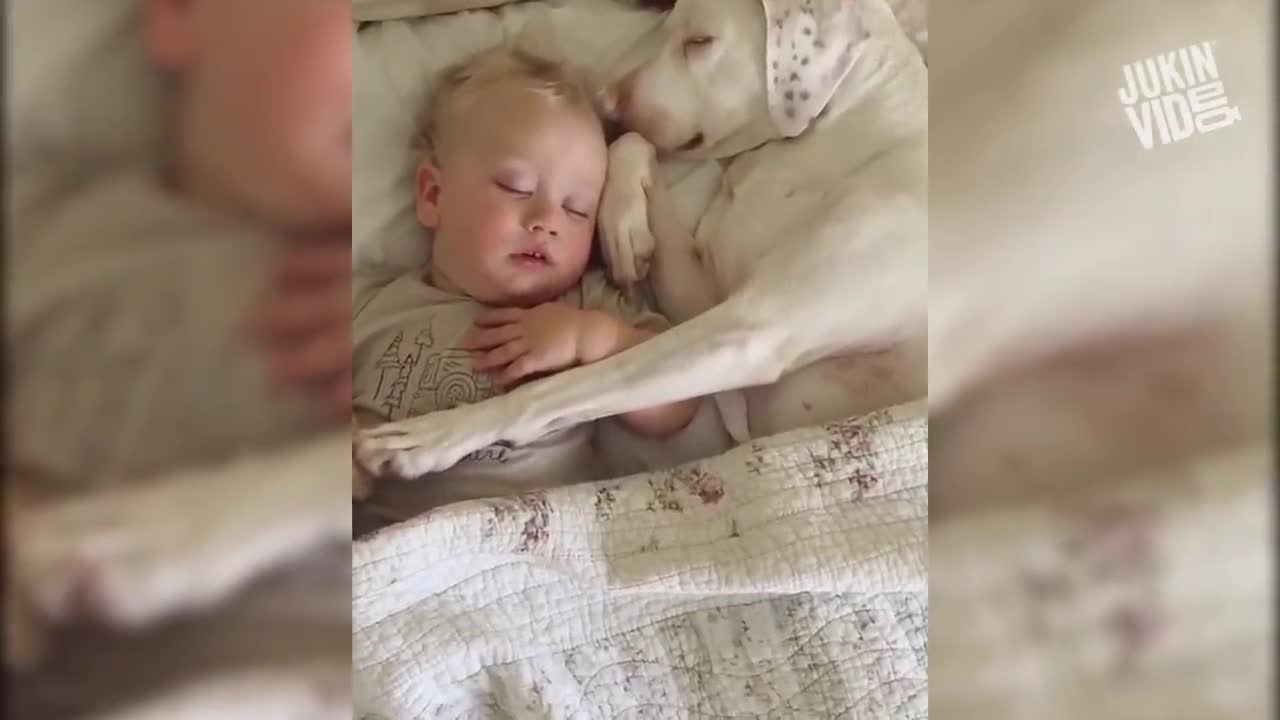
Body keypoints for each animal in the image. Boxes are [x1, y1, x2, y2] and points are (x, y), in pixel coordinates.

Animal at [355, 0, 926, 479]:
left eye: (700, 41)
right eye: (667, 24)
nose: (603, 105)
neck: (839, 131)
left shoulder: (745, 333)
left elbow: (553, 392)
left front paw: (434, 436)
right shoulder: (709, 302)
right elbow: (635, 145)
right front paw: (625, 224)